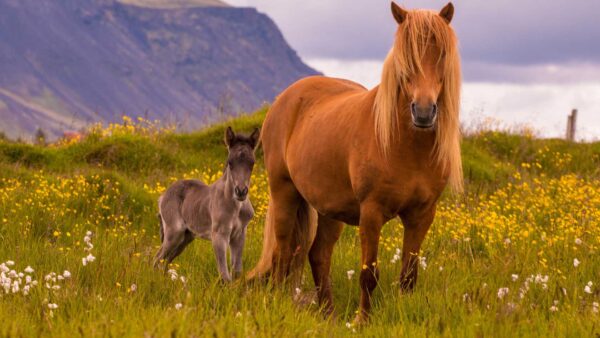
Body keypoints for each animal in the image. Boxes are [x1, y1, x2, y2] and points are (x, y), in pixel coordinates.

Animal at [154, 125, 258, 282]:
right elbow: (224, 274)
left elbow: (237, 271)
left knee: (166, 261)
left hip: (185, 237)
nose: (240, 192)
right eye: (230, 162)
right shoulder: (219, 235)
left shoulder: (239, 234)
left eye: (252, 163)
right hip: (174, 232)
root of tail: (162, 196)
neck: (236, 207)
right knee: (157, 258)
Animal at [248, 3, 464, 324]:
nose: (424, 112)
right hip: (284, 192)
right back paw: (276, 302)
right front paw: (363, 321)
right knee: (283, 252)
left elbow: (408, 276)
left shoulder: (422, 215)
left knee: (318, 255)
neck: (406, 146)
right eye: (405, 57)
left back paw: (329, 314)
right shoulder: (371, 212)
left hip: (329, 208)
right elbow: (369, 274)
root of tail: (284, 99)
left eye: (441, 54)